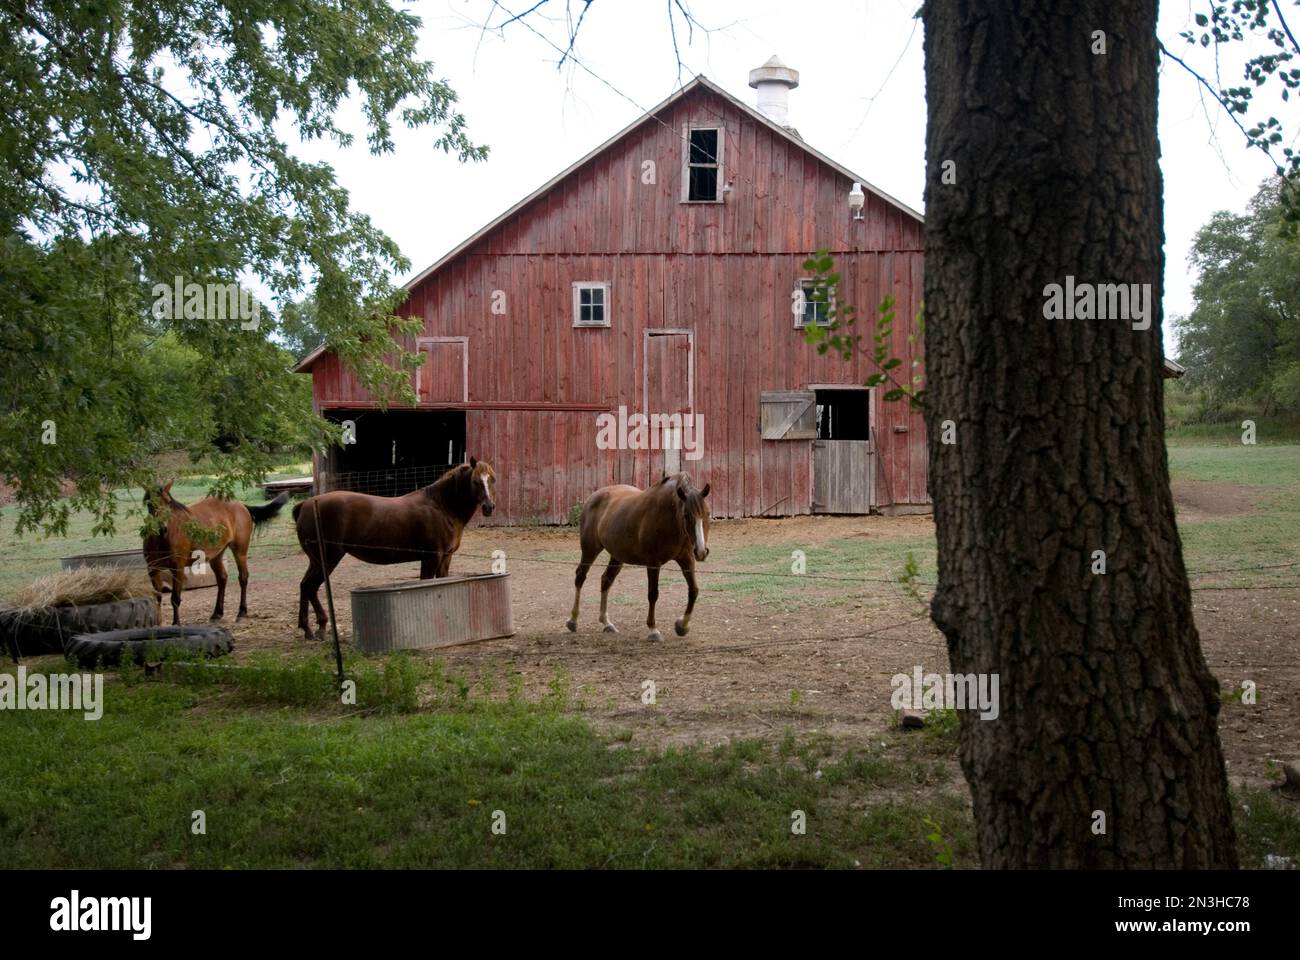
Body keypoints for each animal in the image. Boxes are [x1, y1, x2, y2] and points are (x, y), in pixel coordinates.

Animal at [142, 482, 289, 625]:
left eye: (168, 502)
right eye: (149, 503)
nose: (161, 528)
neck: (164, 538)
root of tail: (241, 505)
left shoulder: (177, 567)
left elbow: (175, 598)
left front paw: (176, 624)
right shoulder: (153, 569)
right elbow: (157, 597)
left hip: (240, 552)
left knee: (243, 578)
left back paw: (242, 612)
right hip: (216, 556)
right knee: (222, 579)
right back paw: (217, 613)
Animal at [293, 458, 497, 640]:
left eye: (492, 480)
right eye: (475, 481)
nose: (489, 507)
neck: (442, 506)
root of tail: (306, 504)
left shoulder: (445, 558)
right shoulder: (431, 558)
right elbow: (426, 584)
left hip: (316, 560)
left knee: (305, 586)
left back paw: (309, 628)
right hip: (327, 559)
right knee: (311, 586)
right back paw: (317, 627)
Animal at [566, 473, 711, 642]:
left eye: (707, 513)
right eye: (686, 515)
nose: (701, 551)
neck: (668, 517)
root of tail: (593, 497)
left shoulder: (687, 559)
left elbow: (694, 591)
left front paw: (682, 626)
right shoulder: (653, 563)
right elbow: (653, 594)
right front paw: (653, 630)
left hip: (617, 556)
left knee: (606, 580)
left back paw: (606, 623)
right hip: (590, 550)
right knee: (580, 577)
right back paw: (573, 620)